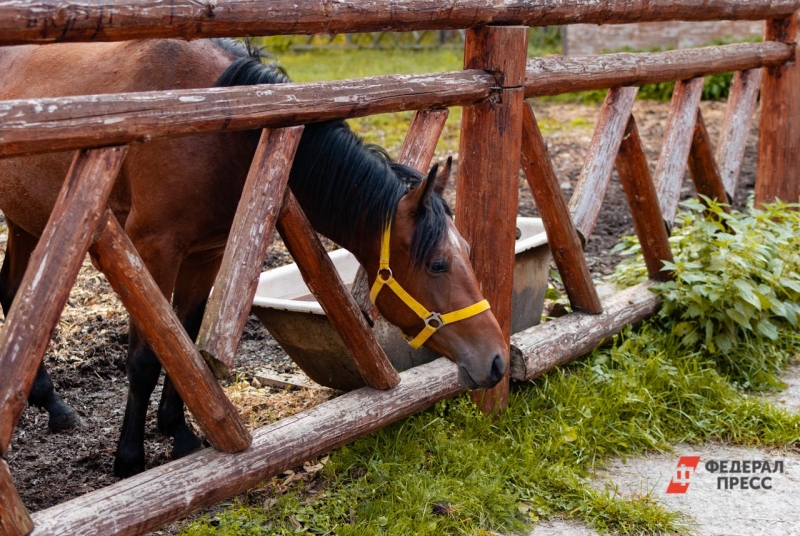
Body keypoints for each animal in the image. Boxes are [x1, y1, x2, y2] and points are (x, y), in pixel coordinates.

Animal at [0, 38, 506, 478]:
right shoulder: (151, 251)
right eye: (438, 264)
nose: (498, 360)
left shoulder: (207, 255)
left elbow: (186, 343)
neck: (220, 127)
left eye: (465, 252)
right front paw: (129, 459)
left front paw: (179, 433)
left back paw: (53, 404)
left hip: (30, 219)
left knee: (12, 294)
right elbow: (146, 358)